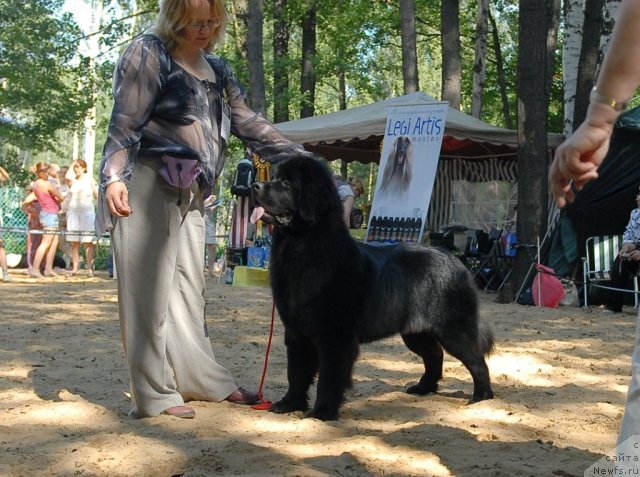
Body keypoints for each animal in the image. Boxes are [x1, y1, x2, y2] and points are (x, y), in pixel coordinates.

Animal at [251, 154, 496, 418]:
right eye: (274, 177)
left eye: (286, 183)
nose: (255, 185)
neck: (301, 247)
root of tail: (457, 262)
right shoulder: (296, 332)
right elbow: (296, 372)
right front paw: (289, 404)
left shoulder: (336, 336)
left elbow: (329, 377)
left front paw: (322, 412)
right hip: (416, 332)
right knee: (434, 355)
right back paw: (423, 388)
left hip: (453, 329)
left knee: (476, 359)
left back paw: (481, 397)